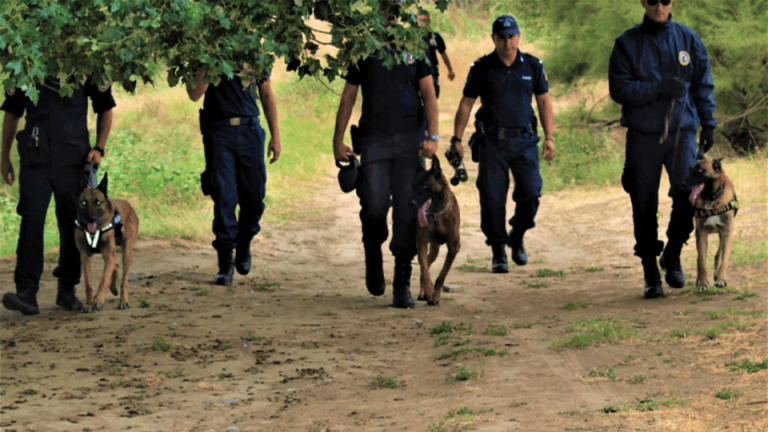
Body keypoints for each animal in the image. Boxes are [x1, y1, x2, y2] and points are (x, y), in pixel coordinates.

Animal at [76, 174, 141, 312]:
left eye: (98, 202)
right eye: (84, 202)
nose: (91, 218)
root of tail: (129, 206)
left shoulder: (109, 254)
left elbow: (103, 280)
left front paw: (98, 300)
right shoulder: (85, 256)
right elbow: (89, 284)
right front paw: (89, 303)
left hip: (126, 251)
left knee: (124, 280)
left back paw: (123, 300)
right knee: (115, 266)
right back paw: (111, 288)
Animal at [412, 157, 460, 306]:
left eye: (425, 186)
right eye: (413, 185)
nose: (411, 203)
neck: (437, 213)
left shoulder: (454, 247)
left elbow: (442, 275)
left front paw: (436, 294)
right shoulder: (421, 242)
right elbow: (425, 270)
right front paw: (429, 291)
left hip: (435, 249)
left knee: (428, 261)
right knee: (425, 265)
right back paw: (423, 292)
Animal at [684, 157, 736, 292]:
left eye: (700, 170)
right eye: (690, 169)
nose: (682, 183)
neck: (711, 199)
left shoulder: (727, 234)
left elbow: (724, 258)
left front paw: (721, 279)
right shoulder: (701, 234)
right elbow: (702, 260)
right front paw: (702, 282)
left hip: (722, 235)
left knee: (719, 254)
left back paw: (717, 274)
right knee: (700, 258)